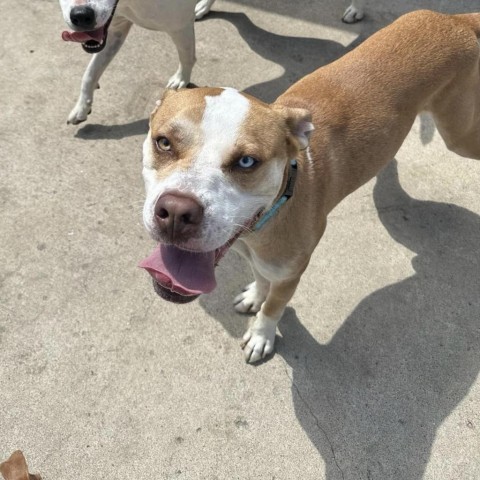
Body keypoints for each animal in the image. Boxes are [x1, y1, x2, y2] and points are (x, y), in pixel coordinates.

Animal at [140, 10, 480, 364]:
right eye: (164, 142)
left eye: (246, 162)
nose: (176, 212)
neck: (269, 217)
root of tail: (454, 18)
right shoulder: (257, 256)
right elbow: (261, 278)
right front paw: (255, 295)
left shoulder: (291, 274)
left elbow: (274, 307)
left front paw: (262, 335)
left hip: (459, 135)